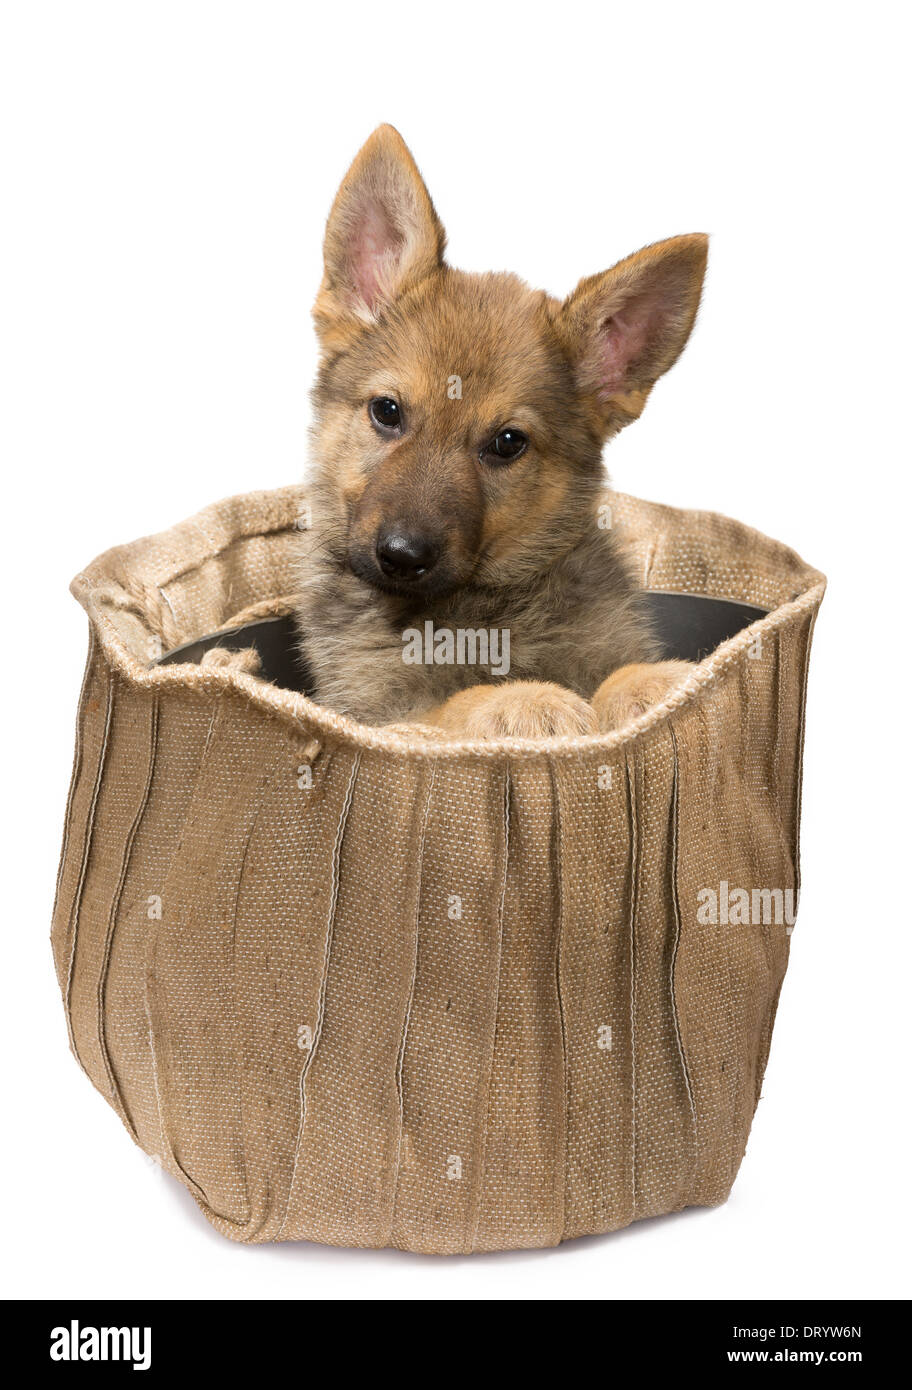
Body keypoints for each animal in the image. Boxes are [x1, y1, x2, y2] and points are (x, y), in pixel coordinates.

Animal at [296, 127, 709, 739]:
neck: (482, 612)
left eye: (507, 443)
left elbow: (619, 669)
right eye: (387, 411)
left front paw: (654, 680)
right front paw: (520, 700)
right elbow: (453, 703)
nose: (402, 556)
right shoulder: (379, 713)